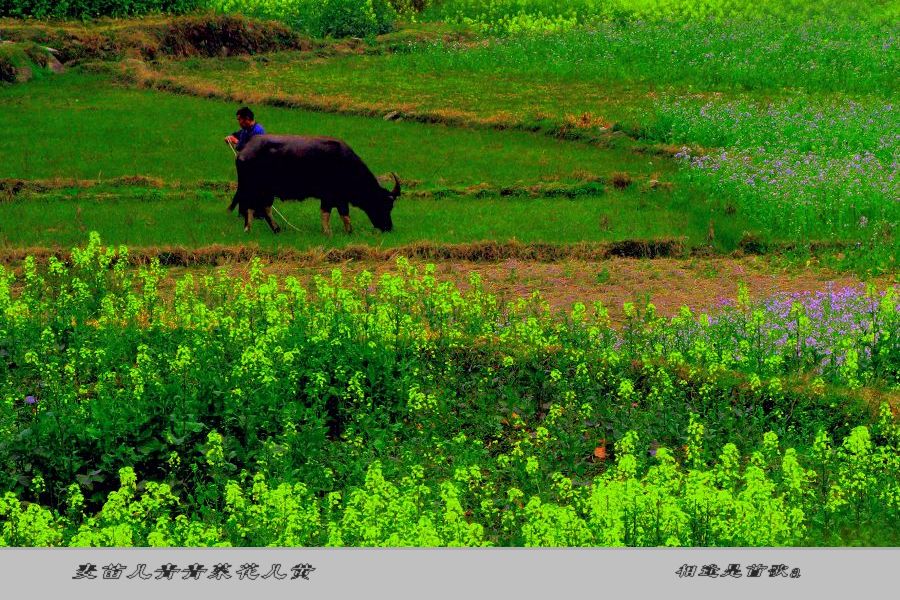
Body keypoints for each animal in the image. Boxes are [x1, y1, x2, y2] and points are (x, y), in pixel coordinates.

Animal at [229, 134, 400, 234]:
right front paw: (333, 232)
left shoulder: (338, 198)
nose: (388, 227)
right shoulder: (331, 196)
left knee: (263, 208)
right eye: (386, 206)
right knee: (251, 207)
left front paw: (342, 231)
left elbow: (339, 214)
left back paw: (276, 229)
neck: (346, 164)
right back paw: (249, 228)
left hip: (265, 191)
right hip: (253, 188)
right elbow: (333, 214)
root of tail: (243, 153)